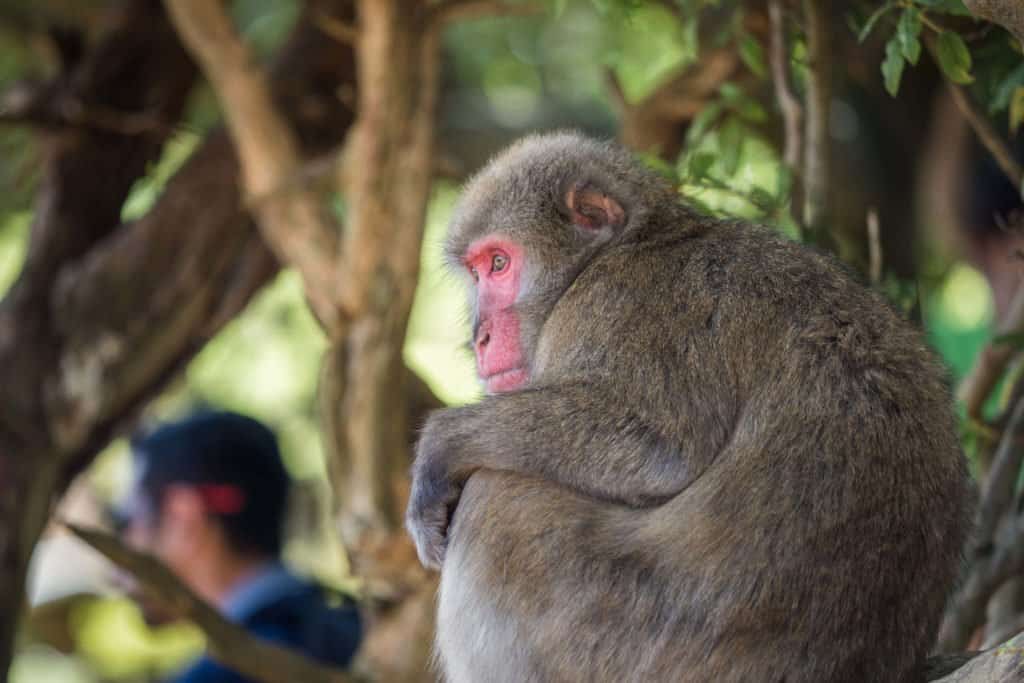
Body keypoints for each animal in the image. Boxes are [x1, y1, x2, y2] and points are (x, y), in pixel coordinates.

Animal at [403, 132, 970, 683]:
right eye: (476, 272)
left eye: (499, 264)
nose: (479, 337)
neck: (635, 242)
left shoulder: (622, 303)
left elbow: (656, 447)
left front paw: (439, 449)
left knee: (496, 499)